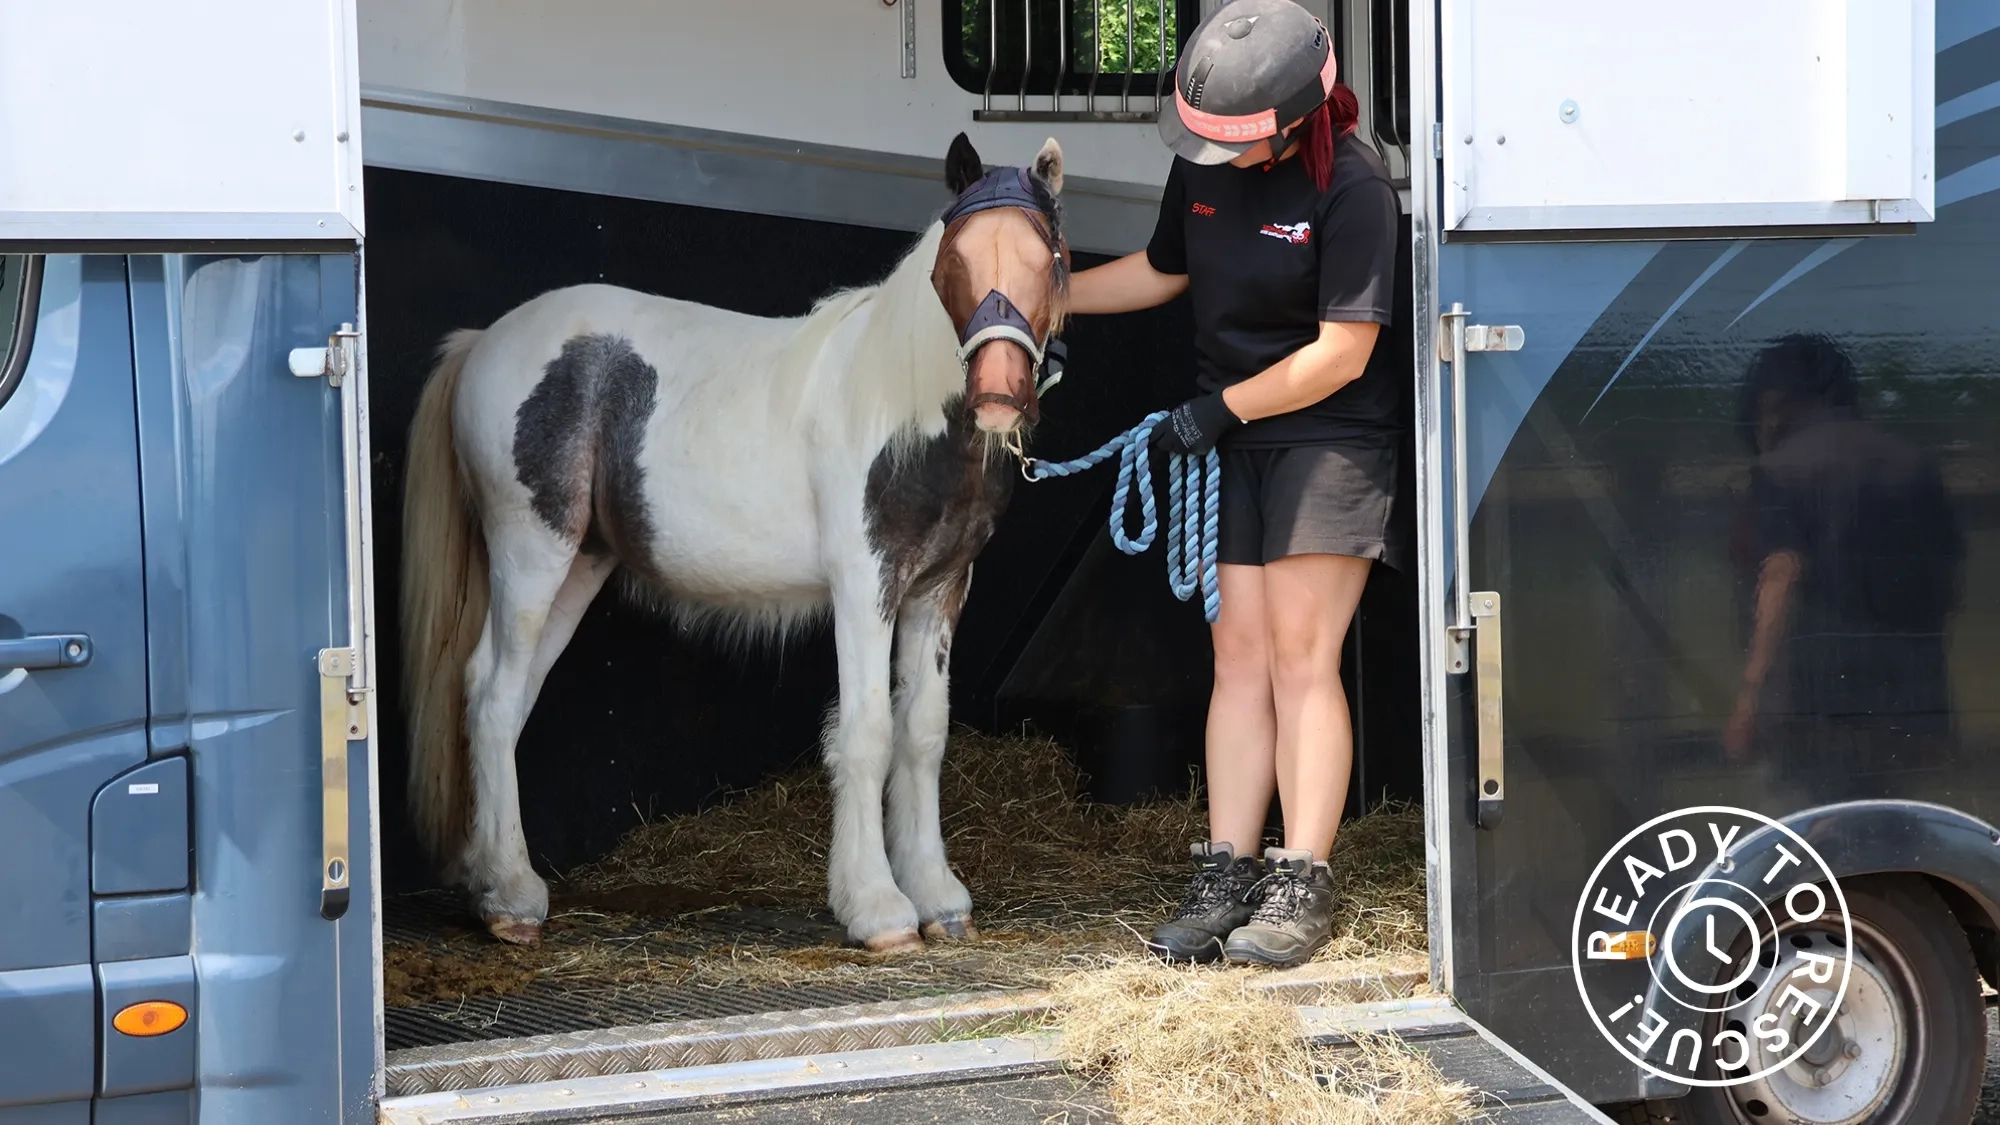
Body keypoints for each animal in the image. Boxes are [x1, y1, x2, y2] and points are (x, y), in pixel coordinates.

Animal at [398, 133, 1072, 953]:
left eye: (1050, 255)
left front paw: (938, 897)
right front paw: (879, 908)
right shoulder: (865, 585)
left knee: (503, 693)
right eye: (955, 258)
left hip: (578, 567)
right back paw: (510, 901)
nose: (999, 394)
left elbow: (923, 733)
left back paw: (489, 876)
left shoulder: (937, 592)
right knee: (493, 696)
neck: (899, 409)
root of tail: (482, 343)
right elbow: (870, 730)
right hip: (531, 554)